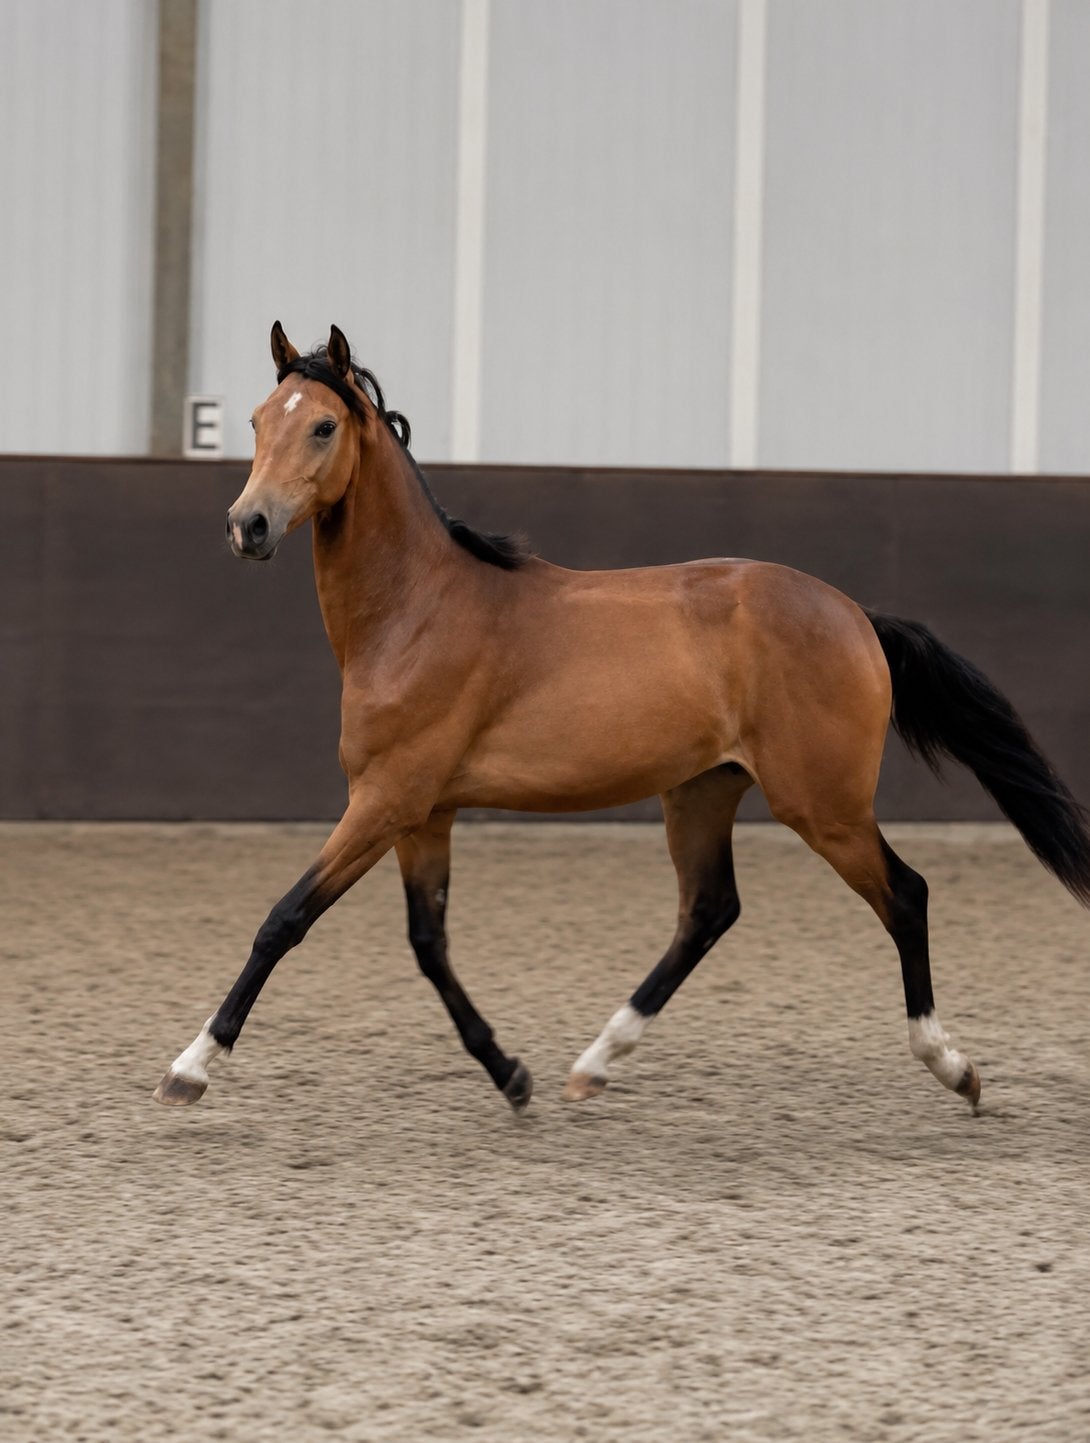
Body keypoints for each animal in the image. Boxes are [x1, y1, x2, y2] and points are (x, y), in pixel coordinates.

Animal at [154, 321, 1090, 1118]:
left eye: (321, 427)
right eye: (254, 419)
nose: (248, 525)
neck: (418, 612)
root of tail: (857, 615)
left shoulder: (385, 800)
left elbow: (285, 919)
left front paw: (191, 1066)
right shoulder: (425, 813)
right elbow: (429, 944)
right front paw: (512, 1075)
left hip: (822, 806)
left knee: (905, 894)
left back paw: (954, 1068)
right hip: (704, 791)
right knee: (708, 911)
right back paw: (592, 1062)